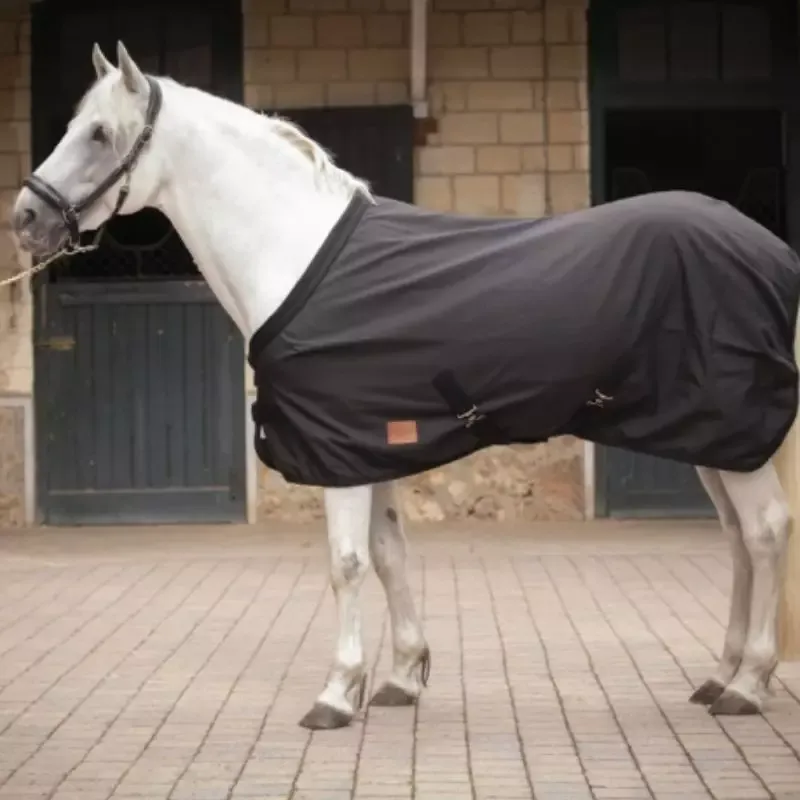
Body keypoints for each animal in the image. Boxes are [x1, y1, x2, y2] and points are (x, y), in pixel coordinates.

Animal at [11, 41, 799, 730]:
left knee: (763, 531)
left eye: (100, 133)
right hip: (712, 438)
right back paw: (722, 675)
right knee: (736, 539)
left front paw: (336, 694)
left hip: (735, 436)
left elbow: (347, 564)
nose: (25, 217)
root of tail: (773, 252)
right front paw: (400, 677)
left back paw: (750, 685)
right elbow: (389, 554)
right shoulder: (370, 446)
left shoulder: (341, 455)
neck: (296, 251)